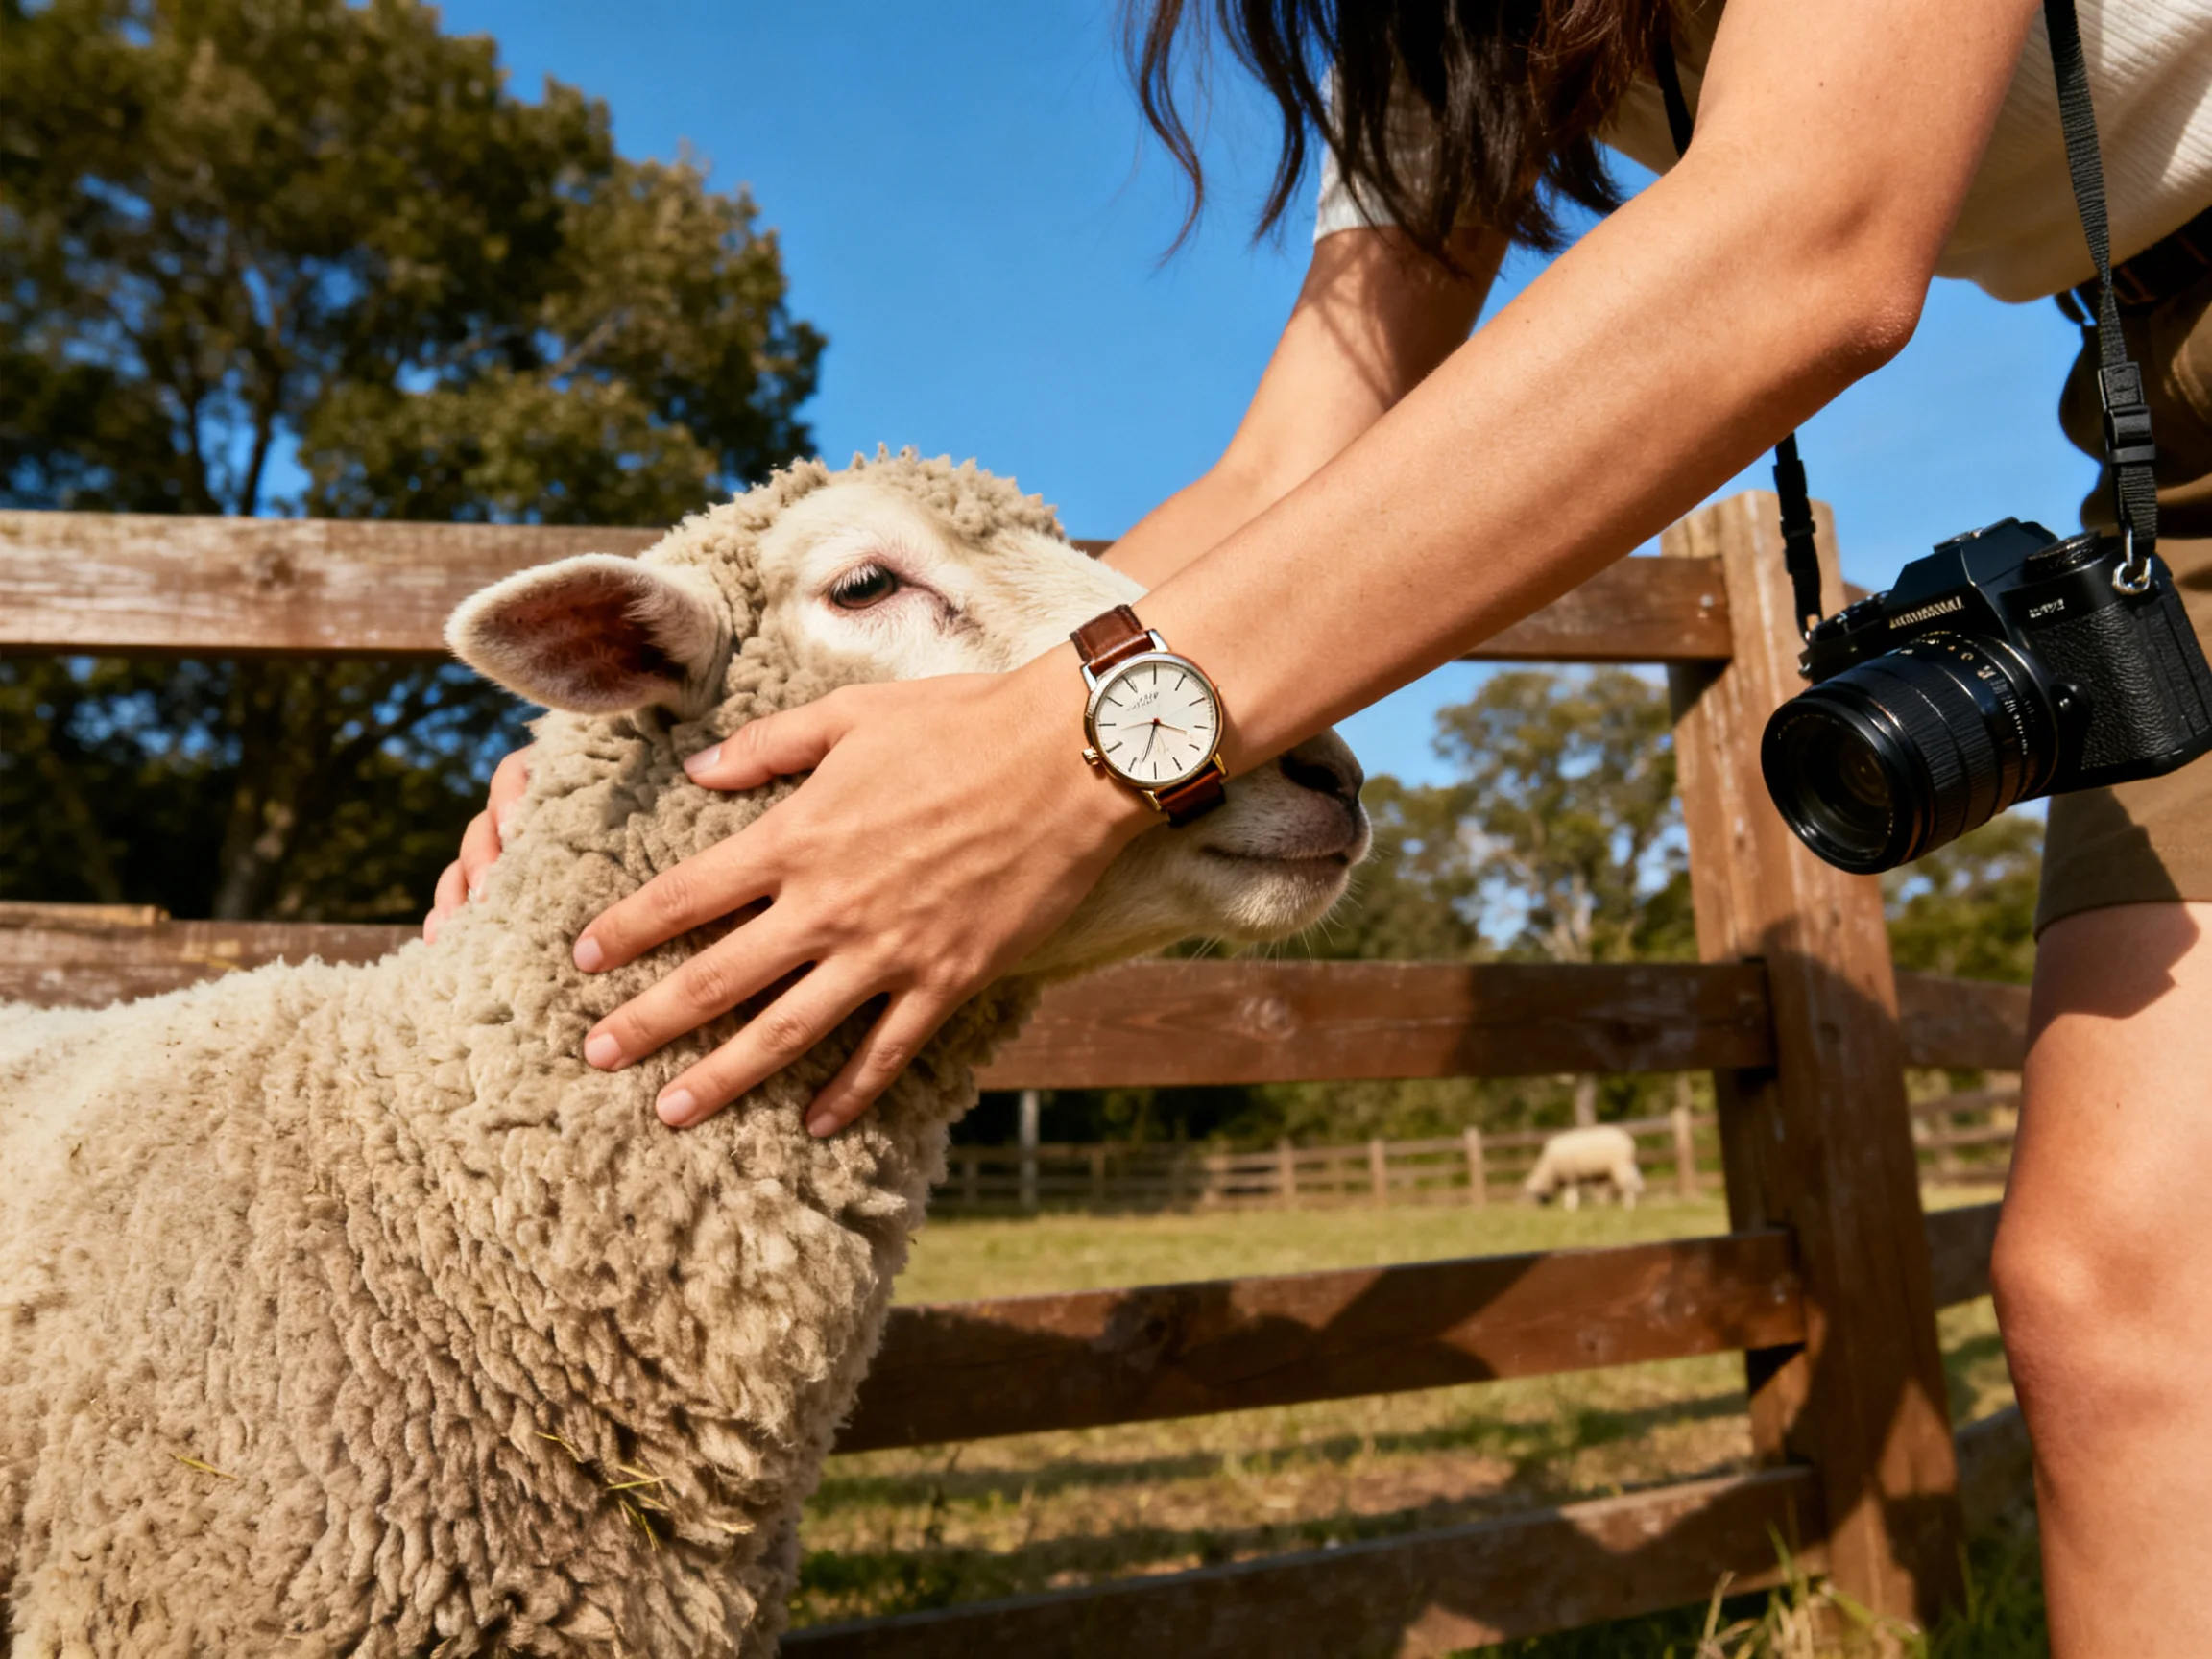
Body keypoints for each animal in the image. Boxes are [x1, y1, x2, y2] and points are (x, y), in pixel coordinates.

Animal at [1520, 1124, 1645, 1211]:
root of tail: (1629, 1140)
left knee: (1628, 1183)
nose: (1542, 1207)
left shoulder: (1570, 1174)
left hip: (1620, 1165)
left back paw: (1628, 1205)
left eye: (1535, 1194)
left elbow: (1571, 1192)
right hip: (1623, 1166)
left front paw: (1570, 1206)